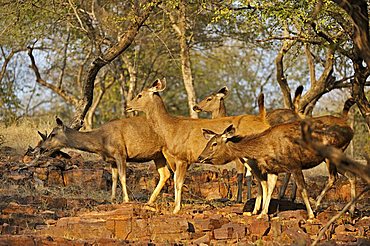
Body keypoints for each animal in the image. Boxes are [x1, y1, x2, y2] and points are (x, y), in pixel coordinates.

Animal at [37, 116, 171, 205]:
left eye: (53, 134)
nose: (42, 147)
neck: (101, 142)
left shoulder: (120, 154)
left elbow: (122, 177)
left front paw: (126, 199)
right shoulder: (112, 160)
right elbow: (114, 178)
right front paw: (112, 199)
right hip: (158, 156)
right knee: (165, 174)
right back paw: (150, 200)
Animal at [125, 79, 270, 213]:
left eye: (140, 95)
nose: (127, 106)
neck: (170, 129)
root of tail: (264, 123)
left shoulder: (182, 158)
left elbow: (178, 183)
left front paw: (176, 209)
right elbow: (176, 180)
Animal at [198, 98, 356, 219]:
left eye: (214, 143)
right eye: (208, 142)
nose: (200, 157)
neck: (263, 147)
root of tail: (349, 127)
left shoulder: (294, 165)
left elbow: (302, 189)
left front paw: (310, 215)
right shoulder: (272, 170)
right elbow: (269, 188)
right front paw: (262, 213)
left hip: (332, 155)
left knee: (333, 178)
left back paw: (317, 207)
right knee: (351, 175)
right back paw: (351, 211)